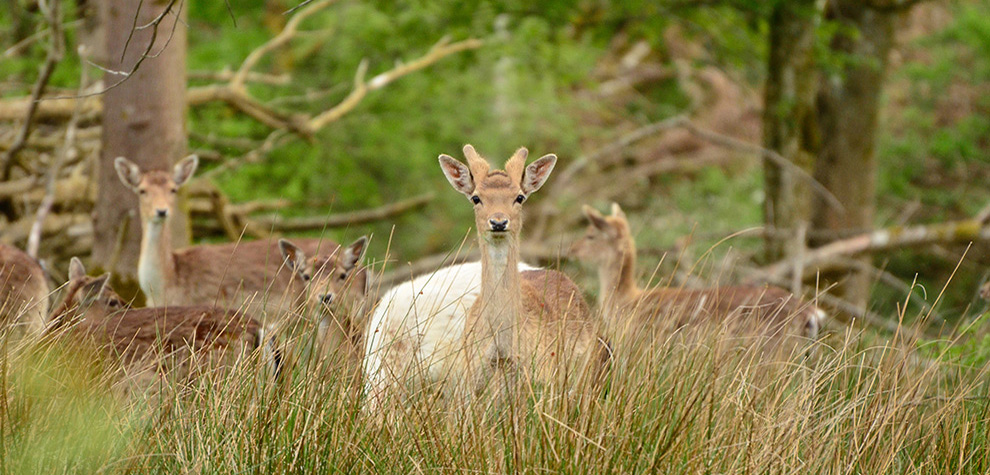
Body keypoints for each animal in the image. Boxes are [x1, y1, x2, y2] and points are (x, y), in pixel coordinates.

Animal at [437, 145, 610, 394]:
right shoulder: (469, 382)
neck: (503, 350)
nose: (498, 222)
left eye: (519, 197)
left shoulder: (544, 382)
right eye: (476, 197)